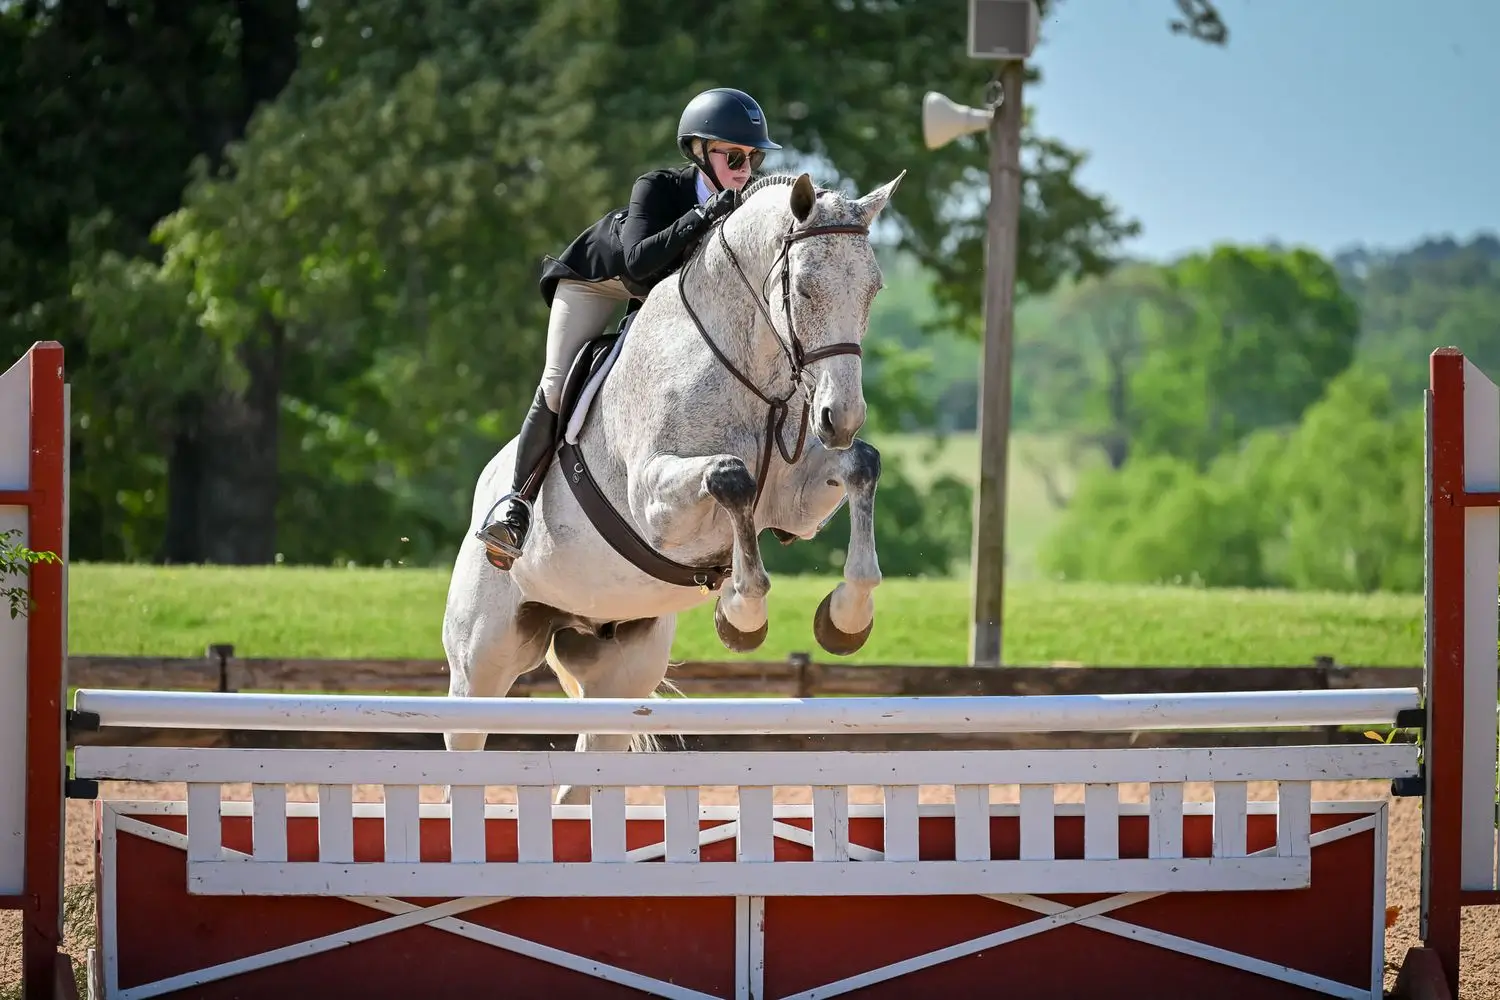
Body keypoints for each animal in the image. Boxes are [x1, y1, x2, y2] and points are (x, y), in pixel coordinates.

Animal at [441, 170, 905, 802]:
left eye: (873, 291)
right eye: (805, 289)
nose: (841, 418)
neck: (750, 372)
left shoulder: (796, 502)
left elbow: (862, 468)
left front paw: (845, 617)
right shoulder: (658, 509)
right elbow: (731, 479)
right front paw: (742, 613)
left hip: (619, 670)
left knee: (581, 776)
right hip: (481, 661)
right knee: (465, 740)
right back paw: (507, 525)